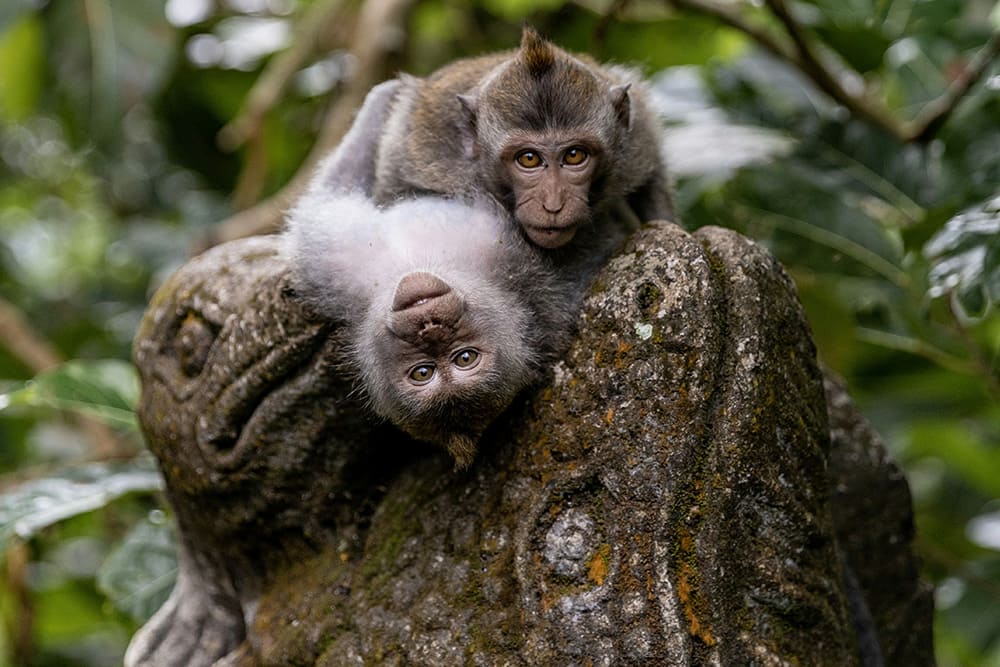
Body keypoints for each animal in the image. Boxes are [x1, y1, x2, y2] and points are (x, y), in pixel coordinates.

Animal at [372, 24, 676, 250]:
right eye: (529, 159)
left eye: (574, 155)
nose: (553, 206)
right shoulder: (427, 153)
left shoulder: (637, 141)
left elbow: (652, 185)